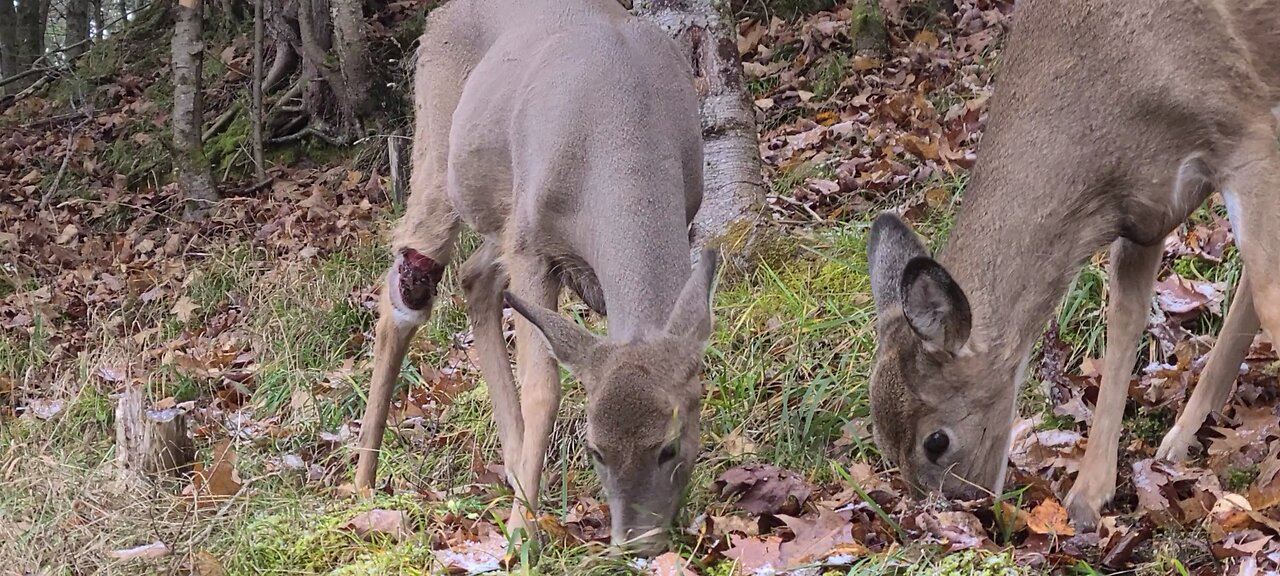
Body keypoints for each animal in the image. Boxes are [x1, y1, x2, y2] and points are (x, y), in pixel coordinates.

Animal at [350, 0, 721, 555]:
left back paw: (511, 463)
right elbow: (543, 388)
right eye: (595, 451)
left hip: (501, 216)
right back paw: (363, 483)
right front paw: (521, 534)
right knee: (407, 289)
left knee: (473, 277)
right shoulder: (532, 246)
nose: (634, 543)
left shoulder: (689, 210)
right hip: (439, 154)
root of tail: (438, 15)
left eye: (671, 446)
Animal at [865, 0, 1274, 529]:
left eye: (936, 441)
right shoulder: (1144, 211)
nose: (968, 518)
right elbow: (1123, 324)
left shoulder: (1247, 132)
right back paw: (1180, 439)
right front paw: (1087, 496)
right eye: (882, 447)